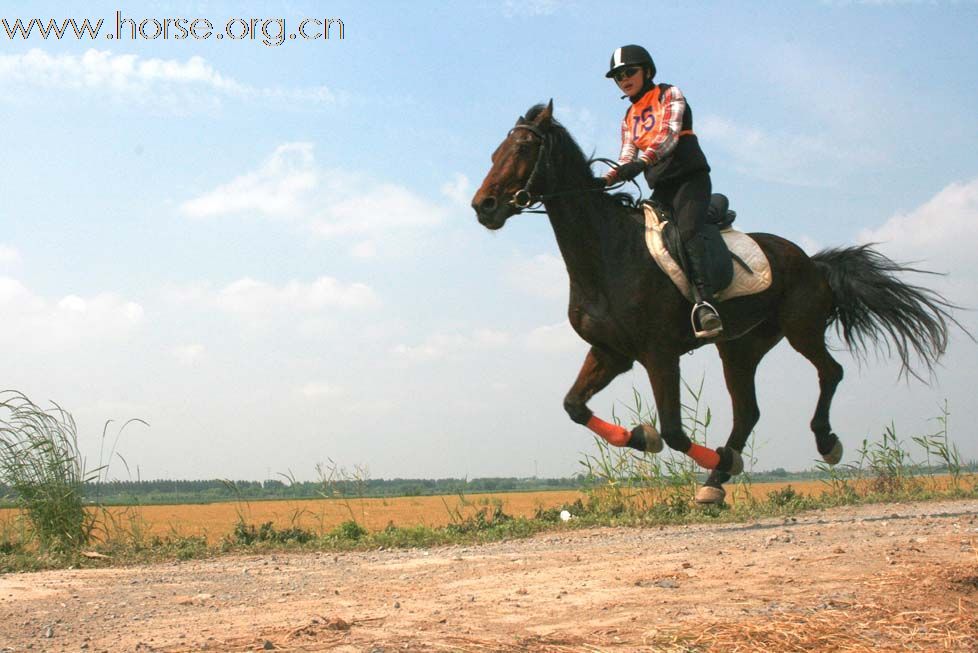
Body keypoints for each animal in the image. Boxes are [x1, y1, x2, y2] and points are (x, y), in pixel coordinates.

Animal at [468, 99, 956, 504]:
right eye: (493, 154)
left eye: (522, 149)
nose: (483, 206)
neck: (607, 252)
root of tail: (812, 262)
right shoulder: (611, 352)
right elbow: (574, 406)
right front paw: (645, 438)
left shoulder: (659, 352)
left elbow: (673, 431)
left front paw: (692, 449)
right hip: (740, 347)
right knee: (748, 411)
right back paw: (715, 483)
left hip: (800, 328)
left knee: (830, 372)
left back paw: (822, 444)